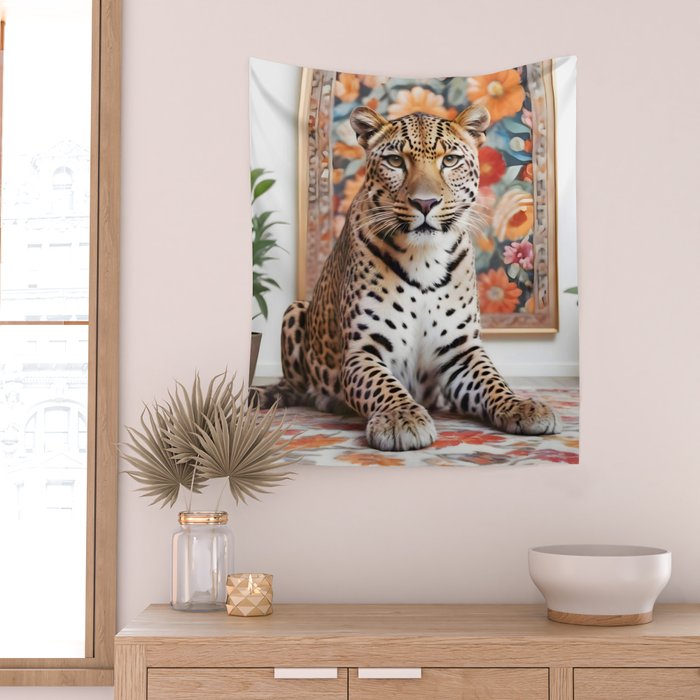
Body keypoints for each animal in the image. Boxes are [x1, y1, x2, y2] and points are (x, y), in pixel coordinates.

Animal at [255, 103, 560, 451]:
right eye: (395, 161)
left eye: (450, 160)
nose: (425, 203)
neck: (424, 258)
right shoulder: (363, 350)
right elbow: (383, 385)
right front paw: (401, 418)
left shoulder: (462, 351)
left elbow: (493, 380)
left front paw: (521, 405)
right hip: (295, 311)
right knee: (296, 388)